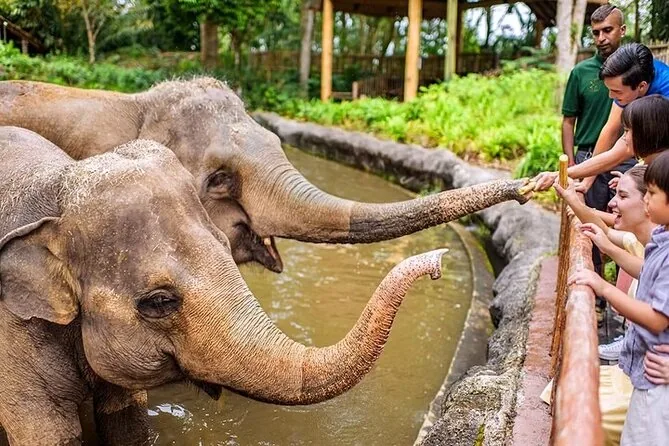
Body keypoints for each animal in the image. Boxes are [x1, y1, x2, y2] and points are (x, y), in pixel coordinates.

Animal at [0, 126, 448, 446]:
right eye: (158, 302)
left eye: (223, 242)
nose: (438, 261)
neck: (58, 188)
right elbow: (48, 433)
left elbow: (126, 421)